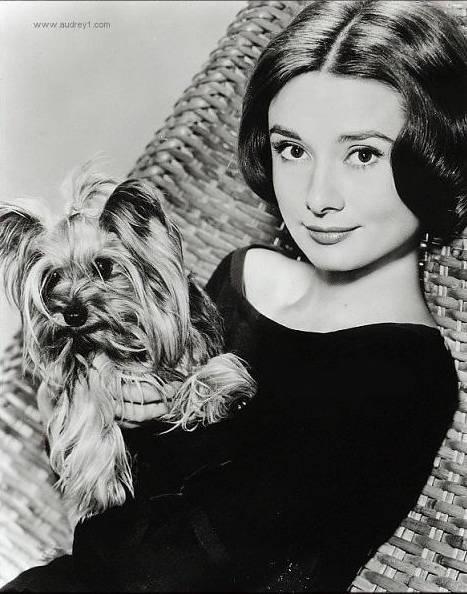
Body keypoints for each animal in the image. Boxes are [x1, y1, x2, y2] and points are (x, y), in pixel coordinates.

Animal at [0, 165, 255, 523]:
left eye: (104, 266)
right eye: (53, 277)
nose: (73, 314)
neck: (119, 338)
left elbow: (215, 368)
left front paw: (215, 397)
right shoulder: (84, 368)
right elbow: (87, 405)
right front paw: (100, 487)